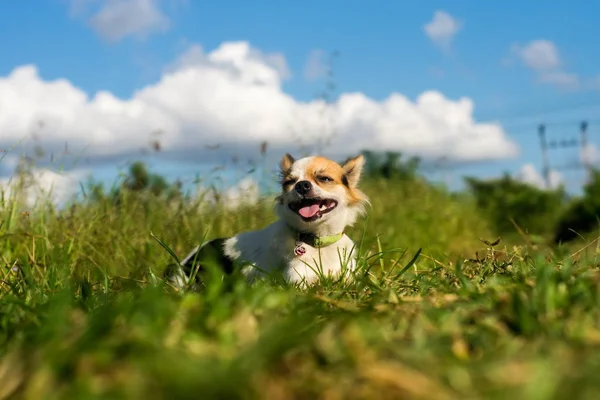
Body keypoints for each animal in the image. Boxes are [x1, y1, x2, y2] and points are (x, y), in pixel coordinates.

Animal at [165, 152, 370, 290]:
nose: (301, 185)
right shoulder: (297, 281)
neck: (318, 240)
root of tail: (189, 257)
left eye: (324, 178)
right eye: (289, 182)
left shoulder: (350, 277)